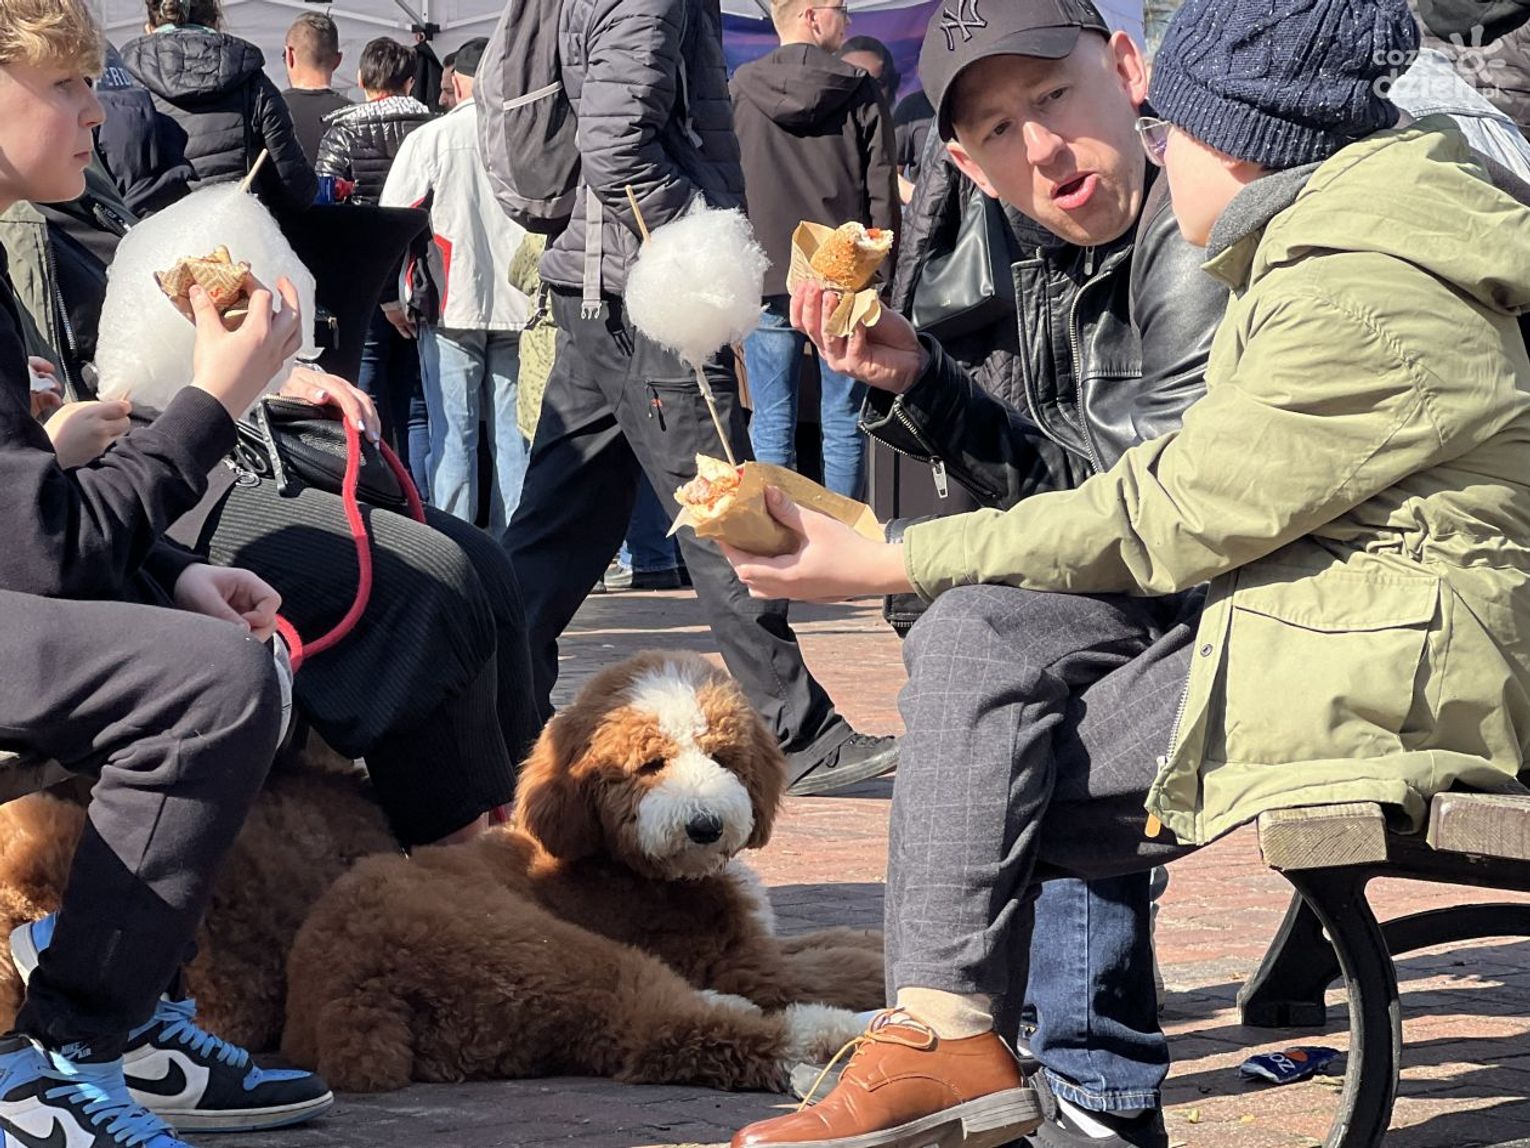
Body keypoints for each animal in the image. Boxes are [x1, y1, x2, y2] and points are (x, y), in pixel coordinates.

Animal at [282, 651, 885, 1093]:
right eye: (650, 764)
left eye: (721, 756)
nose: (705, 825)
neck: (621, 861)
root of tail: (352, 993)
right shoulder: (744, 963)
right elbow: (845, 965)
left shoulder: (759, 940)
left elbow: (842, 938)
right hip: (555, 955)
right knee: (668, 1029)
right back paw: (848, 1031)